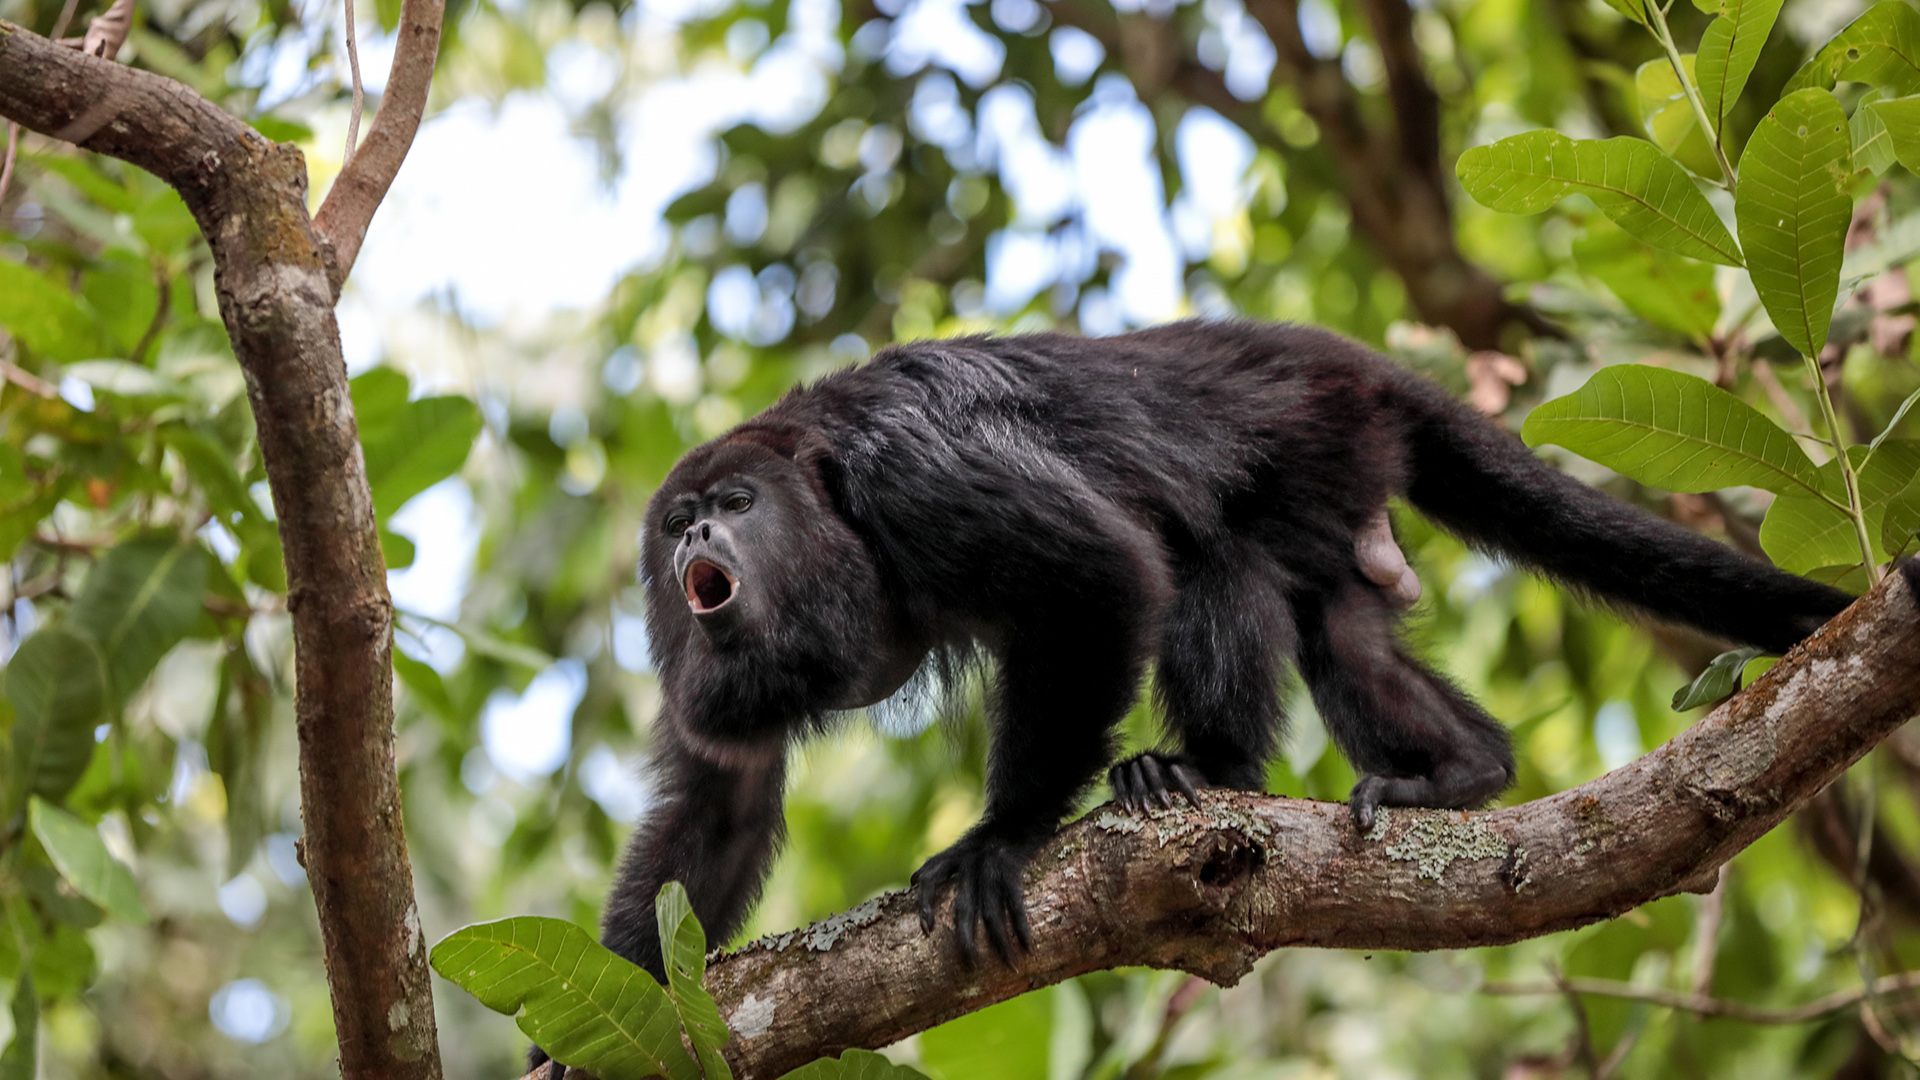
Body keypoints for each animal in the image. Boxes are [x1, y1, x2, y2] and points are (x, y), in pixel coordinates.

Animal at [531, 320, 1857, 1075]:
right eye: (676, 523)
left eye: (738, 504)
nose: (698, 534)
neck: (823, 505)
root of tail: (1351, 359)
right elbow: (722, 796)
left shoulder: (914, 471)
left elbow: (1102, 572)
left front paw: (1003, 837)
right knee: (1338, 625)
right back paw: (1464, 768)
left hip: (1316, 435)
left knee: (1211, 557)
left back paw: (1206, 774)